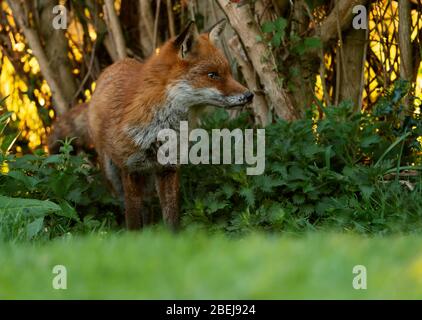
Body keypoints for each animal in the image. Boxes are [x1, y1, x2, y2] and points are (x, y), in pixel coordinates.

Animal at [49, 20, 254, 230]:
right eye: (213, 75)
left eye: (228, 73)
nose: (250, 95)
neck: (158, 129)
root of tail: (116, 64)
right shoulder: (130, 170)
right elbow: (132, 219)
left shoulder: (168, 169)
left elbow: (171, 218)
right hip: (113, 174)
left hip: (147, 179)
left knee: (147, 205)